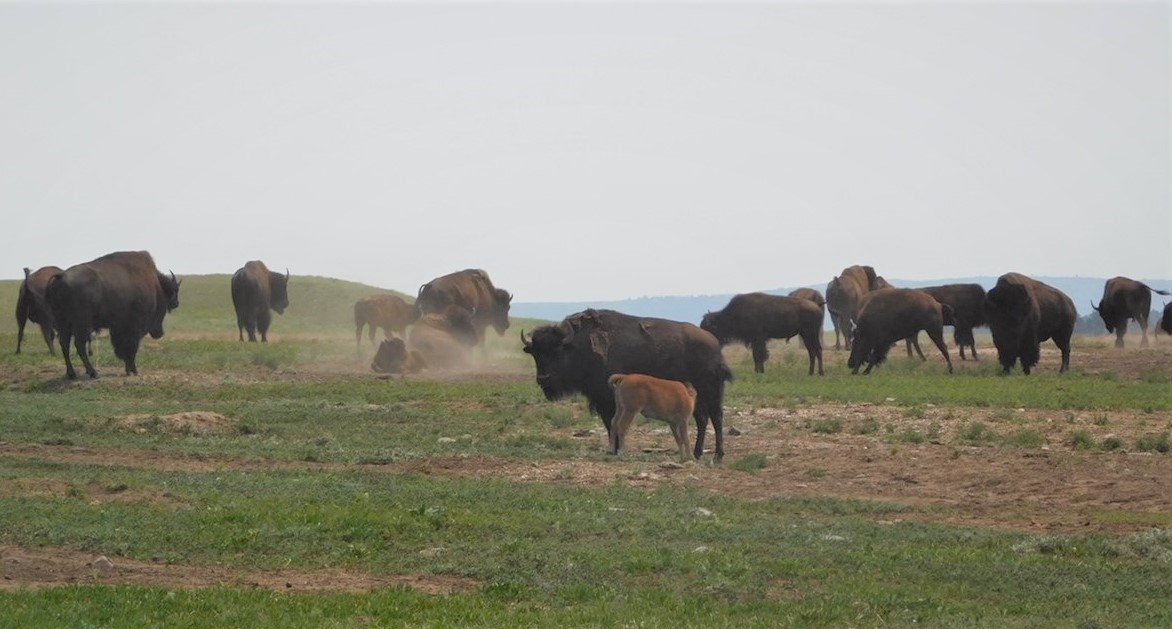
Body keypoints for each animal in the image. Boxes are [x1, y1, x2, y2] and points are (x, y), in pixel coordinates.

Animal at [43, 250, 179, 377]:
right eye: (166, 303)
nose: (160, 333)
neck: (155, 285)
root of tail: (61, 276)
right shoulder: (134, 327)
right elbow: (131, 347)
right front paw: (133, 370)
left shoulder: (117, 327)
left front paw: (129, 370)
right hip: (80, 323)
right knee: (79, 344)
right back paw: (93, 373)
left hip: (63, 323)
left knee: (65, 344)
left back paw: (72, 374)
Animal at [522, 309, 731, 461]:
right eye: (535, 353)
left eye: (557, 350)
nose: (543, 378)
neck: (577, 345)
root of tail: (715, 345)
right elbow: (611, 423)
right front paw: (614, 448)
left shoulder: (607, 400)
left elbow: (610, 422)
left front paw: (615, 448)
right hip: (698, 393)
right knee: (702, 418)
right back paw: (697, 453)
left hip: (711, 390)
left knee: (716, 418)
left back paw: (718, 456)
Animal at [698, 292, 829, 374]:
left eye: (709, 328)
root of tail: (816, 305)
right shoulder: (756, 340)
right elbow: (757, 355)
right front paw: (758, 371)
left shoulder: (758, 339)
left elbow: (759, 355)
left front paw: (759, 371)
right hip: (805, 335)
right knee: (812, 351)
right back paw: (810, 373)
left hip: (811, 334)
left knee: (817, 350)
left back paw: (820, 373)